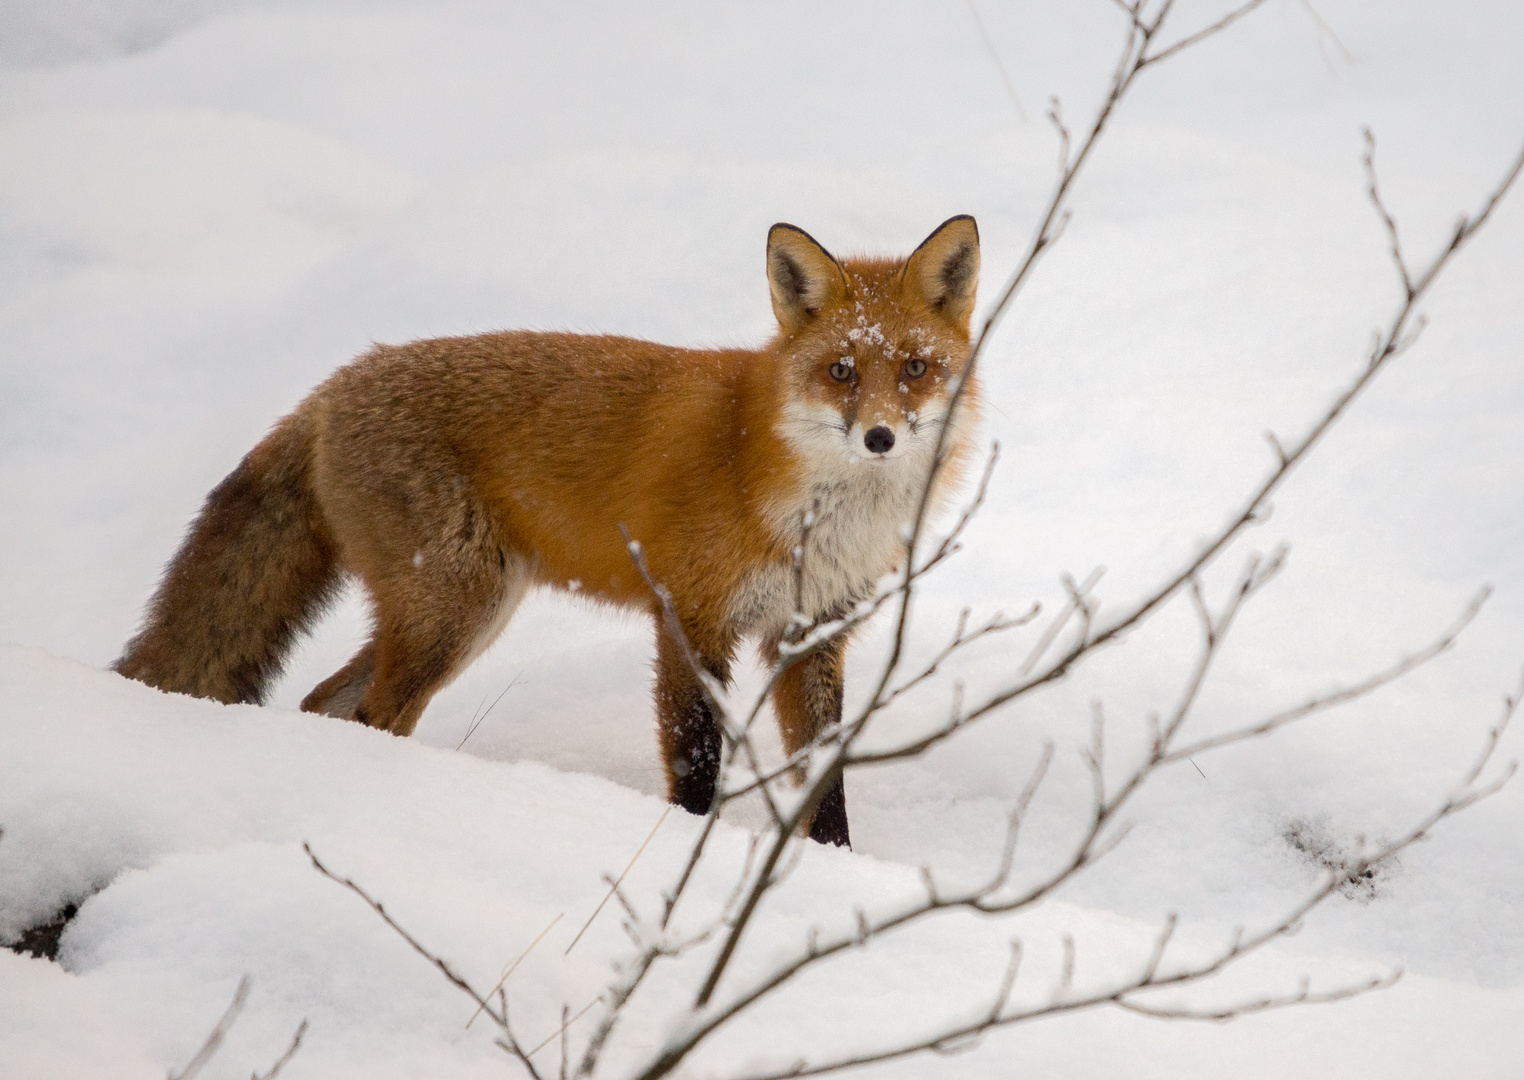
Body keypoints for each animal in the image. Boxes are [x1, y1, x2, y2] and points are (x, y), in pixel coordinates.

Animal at [112, 214, 981, 846]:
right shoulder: (689, 618)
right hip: (453, 613)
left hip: (458, 614)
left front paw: (831, 867)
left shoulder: (812, 635)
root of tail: (336, 383)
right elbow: (696, 760)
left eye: (914, 368)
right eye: (841, 371)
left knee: (325, 703)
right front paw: (683, 853)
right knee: (375, 715)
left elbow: (825, 780)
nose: (879, 438)